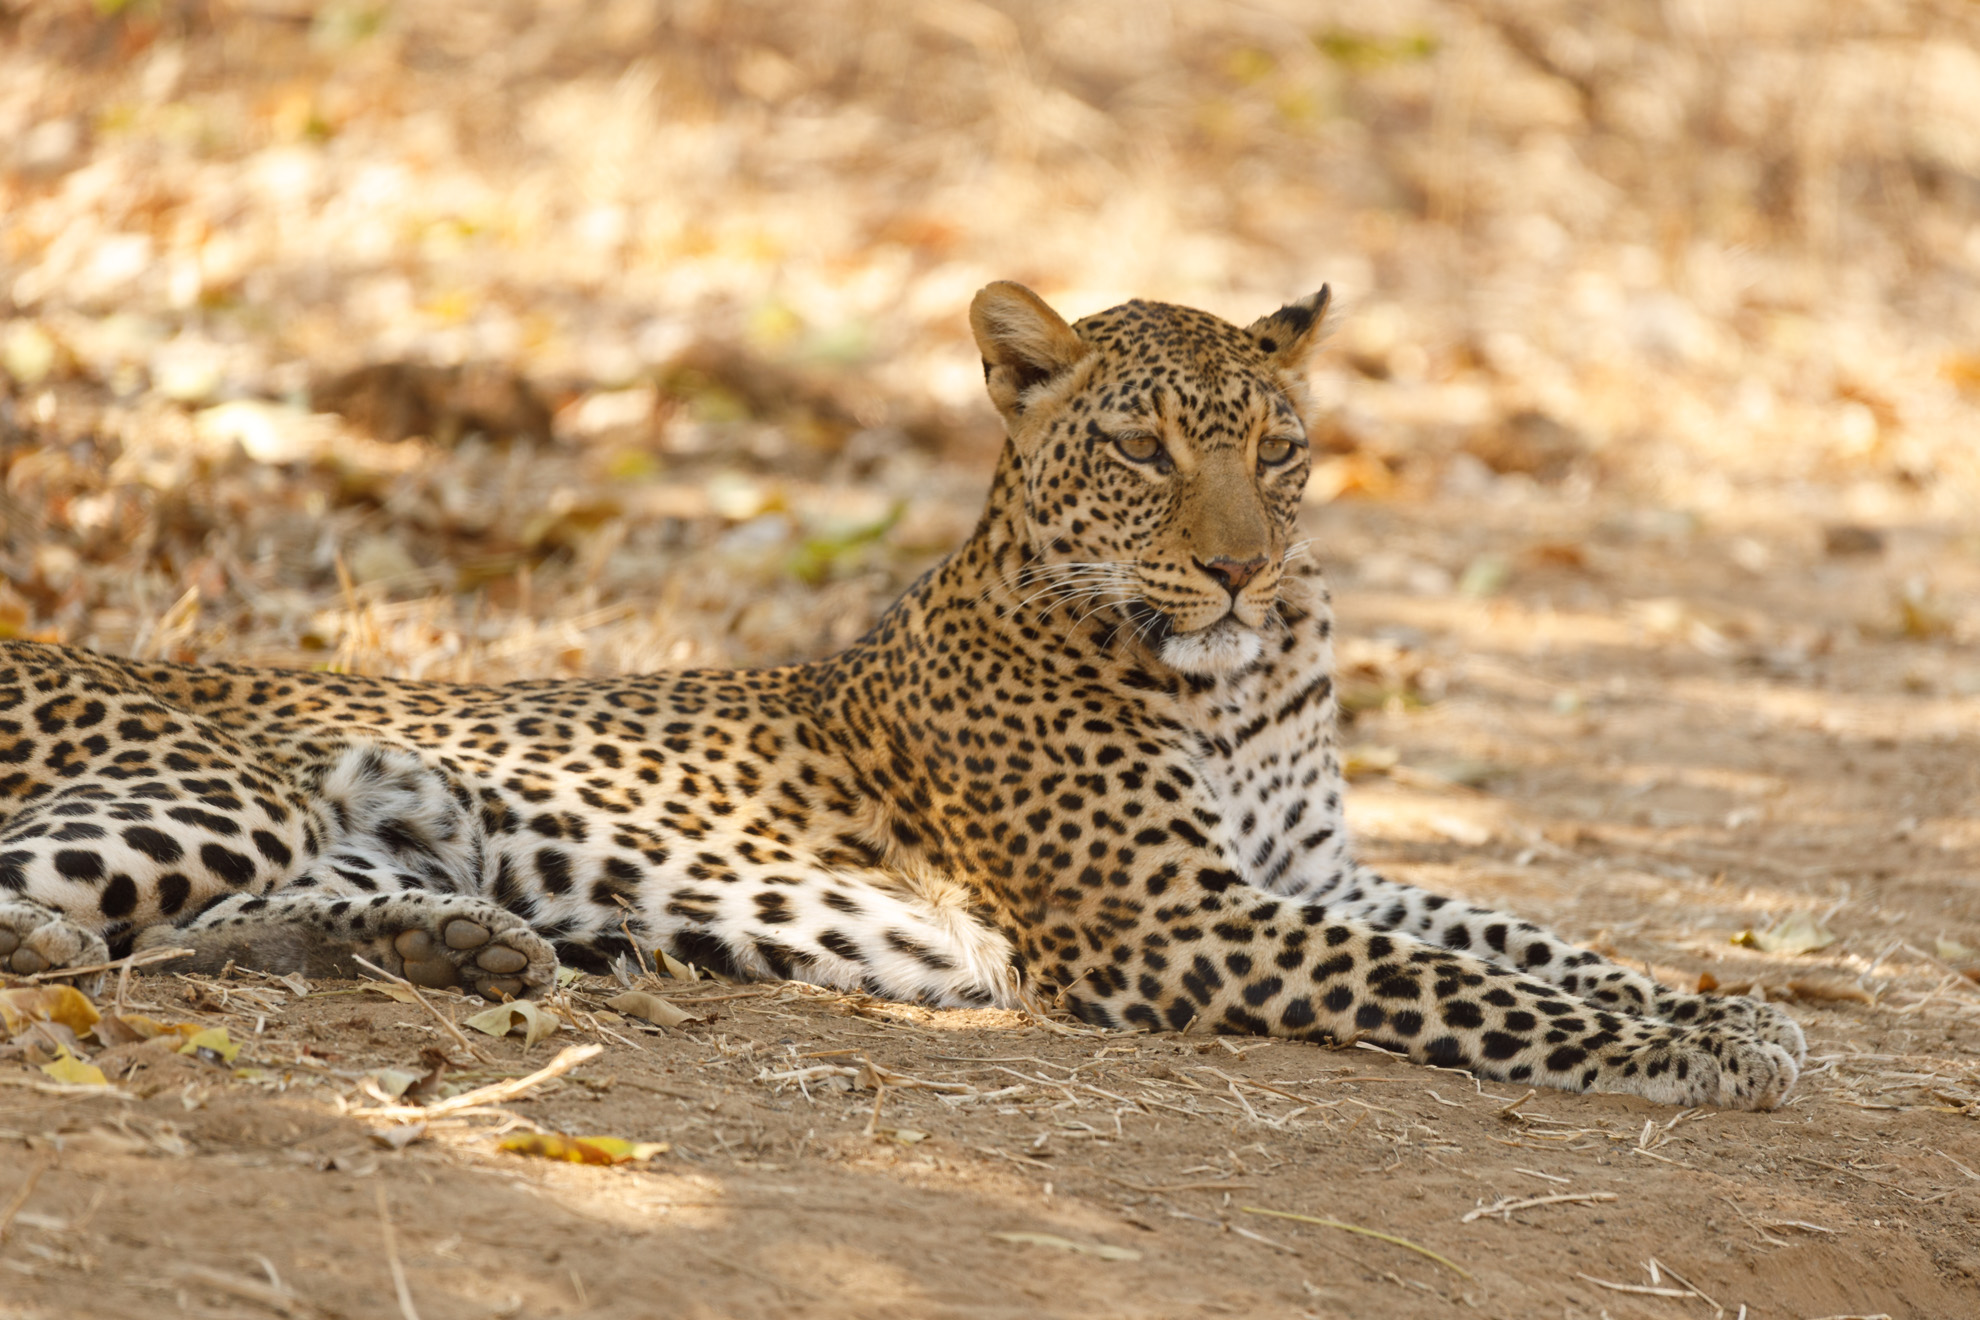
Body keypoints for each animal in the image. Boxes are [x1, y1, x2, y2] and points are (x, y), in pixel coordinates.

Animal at [0, 282, 1805, 1107]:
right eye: (1143, 447)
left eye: (1282, 451)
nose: (1240, 572)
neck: (1243, 684)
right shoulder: (1178, 924)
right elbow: (1479, 987)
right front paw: (1688, 1049)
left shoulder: (1316, 874)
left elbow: (1525, 932)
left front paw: (1739, 1011)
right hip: (215, 790)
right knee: (73, 922)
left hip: (325, 836)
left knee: (189, 939)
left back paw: (462, 946)